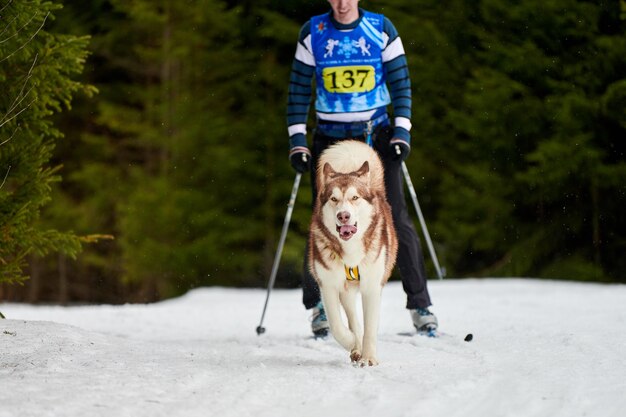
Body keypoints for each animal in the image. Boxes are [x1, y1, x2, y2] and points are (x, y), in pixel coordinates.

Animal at [308, 139, 400, 364]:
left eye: (355, 197)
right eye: (333, 199)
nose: (343, 216)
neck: (350, 252)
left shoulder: (372, 286)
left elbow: (370, 327)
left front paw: (369, 358)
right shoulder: (328, 285)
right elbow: (336, 325)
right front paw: (353, 343)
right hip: (346, 291)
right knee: (352, 318)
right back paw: (355, 344)